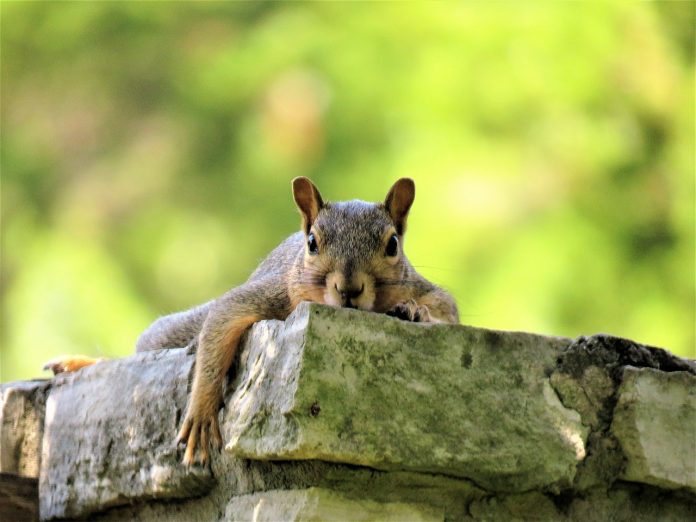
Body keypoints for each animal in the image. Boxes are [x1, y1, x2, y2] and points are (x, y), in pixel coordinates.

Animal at [45, 178, 459, 466]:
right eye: (312, 242)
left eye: (392, 245)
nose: (349, 289)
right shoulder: (272, 294)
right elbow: (221, 322)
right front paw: (201, 411)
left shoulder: (421, 286)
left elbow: (446, 309)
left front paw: (414, 311)